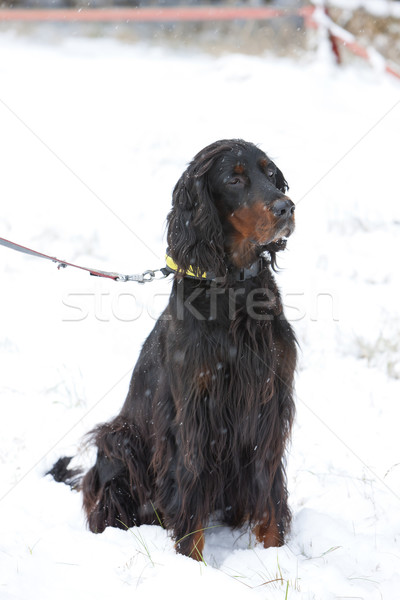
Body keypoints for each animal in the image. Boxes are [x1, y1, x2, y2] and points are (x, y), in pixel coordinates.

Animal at [50, 138, 296, 560]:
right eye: (234, 179)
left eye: (270, 173)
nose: (286, 207)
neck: (233, 286)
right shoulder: (195, 409)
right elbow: (190, 487)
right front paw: (192, 562)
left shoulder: (270, 401)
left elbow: (270, 489)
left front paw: (277, 554)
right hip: (120, 438)